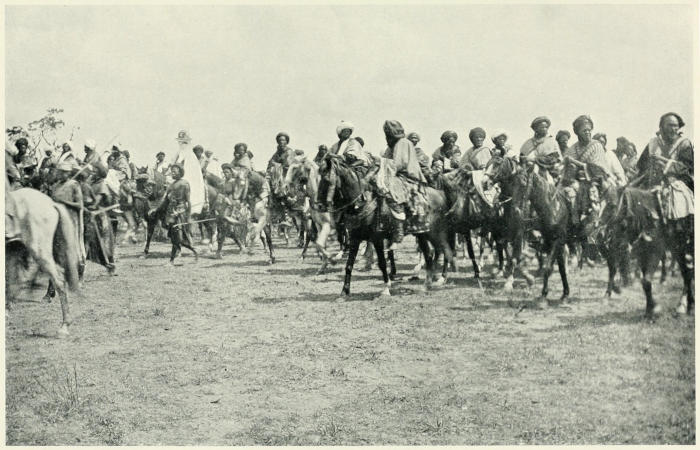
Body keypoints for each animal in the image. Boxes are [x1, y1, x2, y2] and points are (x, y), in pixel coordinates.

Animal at [5, 188, 81, 337]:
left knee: (59, 281)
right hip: (17, 249)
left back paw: (64, 326)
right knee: (14, 281)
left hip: (38, 250)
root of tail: (51, 204)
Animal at [317, 154, 456, 299]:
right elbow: (349, 265)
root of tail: (441, 195)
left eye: (326, 179)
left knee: (445, 251)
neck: (362, 204)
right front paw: (344, 292)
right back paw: (426, 285)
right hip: (422, 233)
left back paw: (439, 278)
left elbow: (382, 263)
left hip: (437, 232)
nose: (319, 205)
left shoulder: (377, 239)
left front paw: (385, 289)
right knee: (430, 254)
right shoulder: (355, 238)